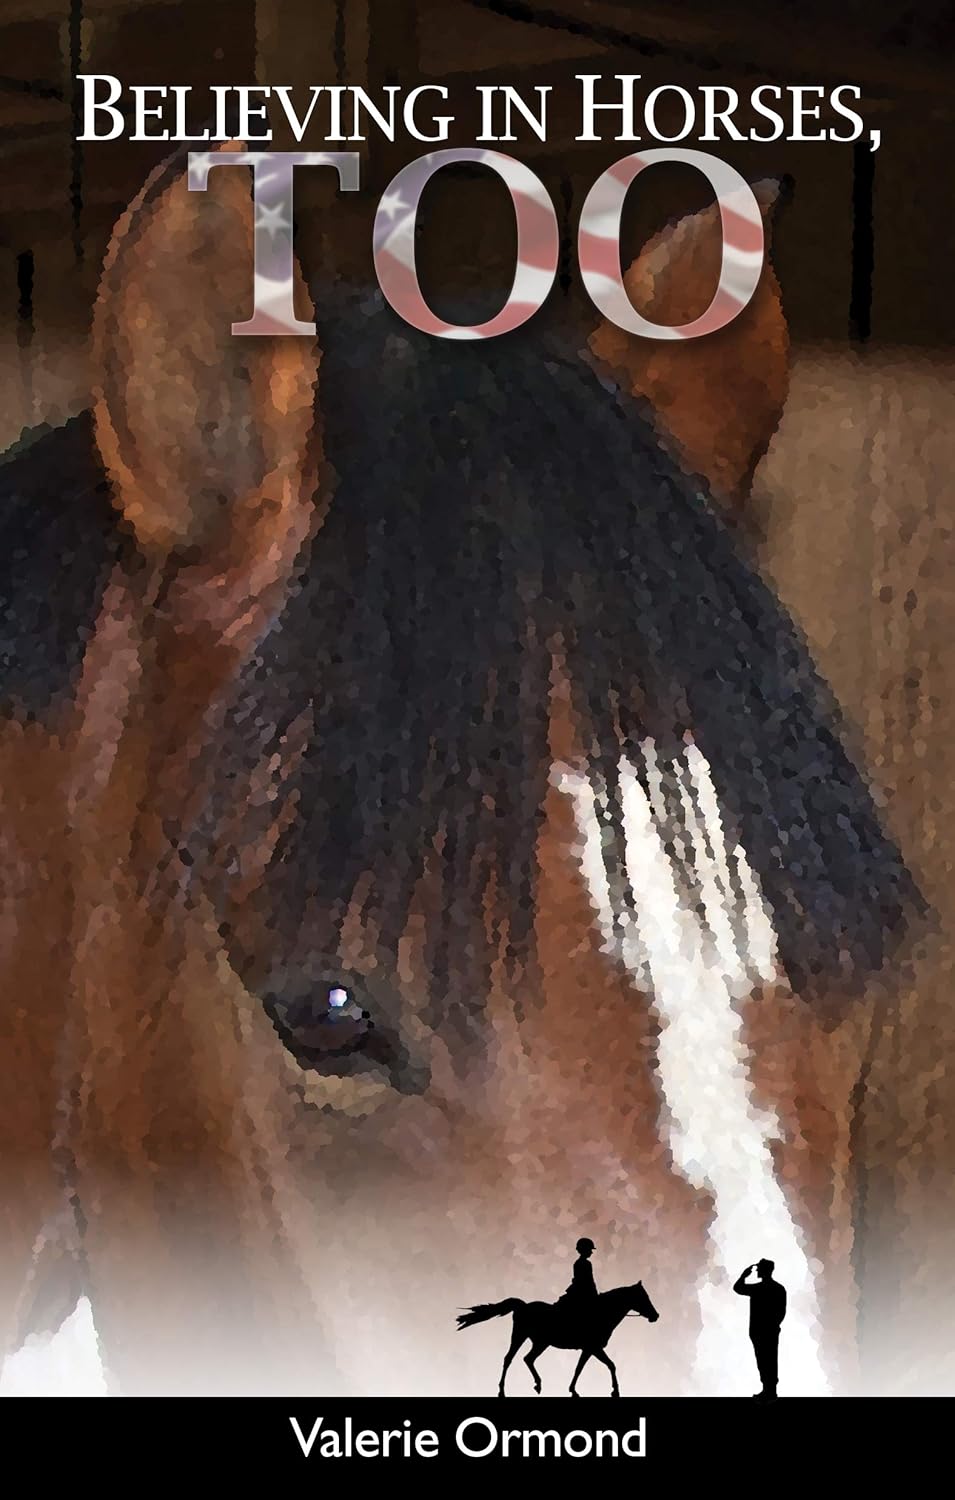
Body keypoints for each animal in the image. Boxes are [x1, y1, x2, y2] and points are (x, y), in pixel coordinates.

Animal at [457, 1283, 660, 1397]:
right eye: (644, 1297)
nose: (655, 1316)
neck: (602, 1313)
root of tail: (523, 1306)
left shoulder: (590, 1349)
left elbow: (586, 1367)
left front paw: (574, 1389)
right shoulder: (593, 1347)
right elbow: (608, 1365)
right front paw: (614, 1390)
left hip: (541, 1342)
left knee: (528, 1359)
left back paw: (538, 1385)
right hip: (520, 1336)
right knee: (509, 1359)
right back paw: (501, 1390)